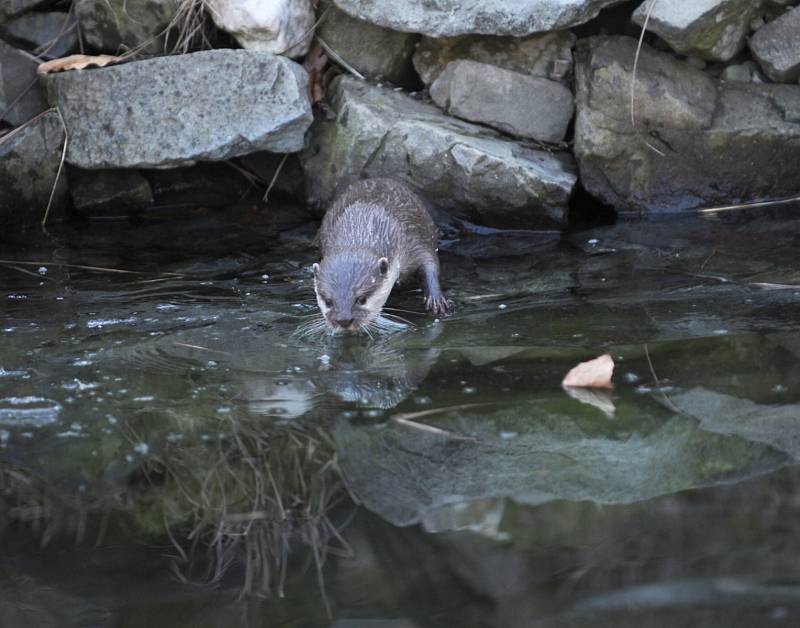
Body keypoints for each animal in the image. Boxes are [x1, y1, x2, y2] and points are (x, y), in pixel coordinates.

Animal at [312, 177, 450, 334]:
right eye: (328, 301)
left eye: (362, 299)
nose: (344, 320)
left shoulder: (414, 240)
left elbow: (429, 262)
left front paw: (436, 300)